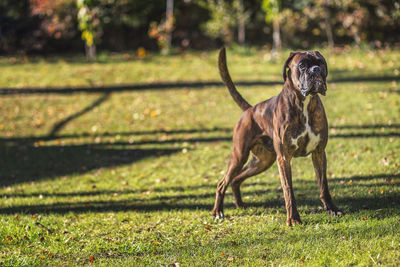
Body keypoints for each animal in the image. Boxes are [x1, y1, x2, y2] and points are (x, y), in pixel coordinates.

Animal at [212, 48, 344, 226]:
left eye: (321, 62)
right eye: (302, 65)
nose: (315, 69)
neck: (304, 103)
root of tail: (250, 109)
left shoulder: (319, 153)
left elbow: (324, 185)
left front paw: (332, 210)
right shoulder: (284, 158)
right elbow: (288, 190)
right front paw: (293, 218)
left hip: (262, 161)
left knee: (235, 179)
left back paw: (239, 204)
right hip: (239, 156)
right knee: (222, 183)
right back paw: (217, 212)